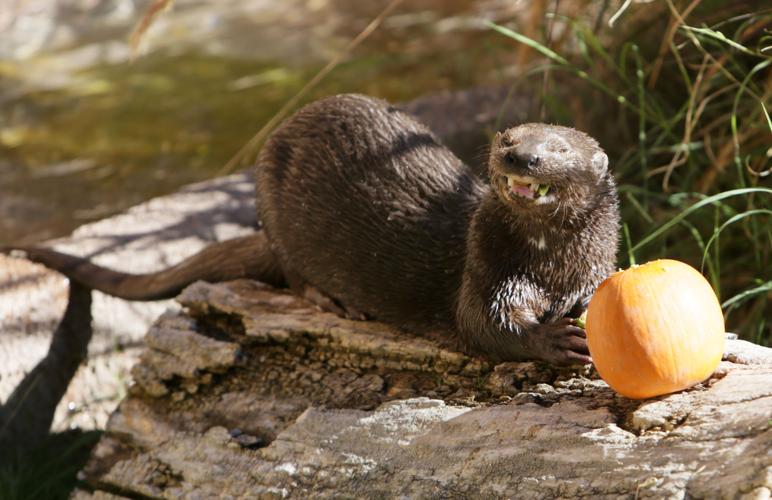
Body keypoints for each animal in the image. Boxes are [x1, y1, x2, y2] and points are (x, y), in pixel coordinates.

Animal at [2, 94, 619, 364]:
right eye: (508, 138)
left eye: (558, 148)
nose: (520, 157)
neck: (549, 263)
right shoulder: (485, 265)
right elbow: (484, 322)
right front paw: (553, 338)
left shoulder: (596, 264)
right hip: (272, 199)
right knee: (293, 272)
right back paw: (332, 301)